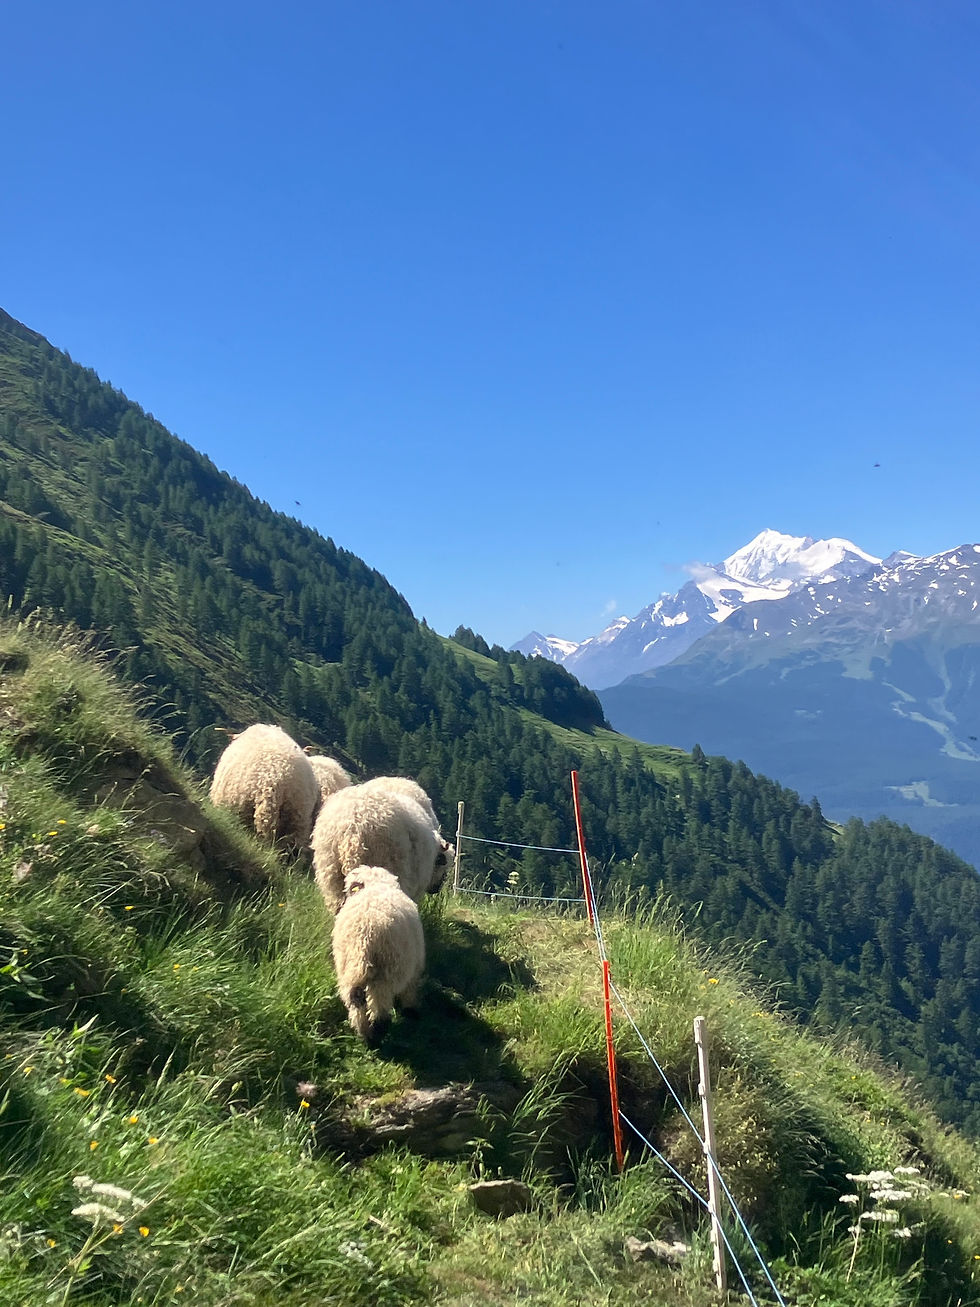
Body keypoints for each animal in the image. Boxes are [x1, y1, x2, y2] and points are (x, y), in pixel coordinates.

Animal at [331, 864, 425, 1046]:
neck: (376, 884)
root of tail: (364, 936)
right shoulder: (414, 966)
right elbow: (410, 989)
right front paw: (410, 1010)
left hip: (348, 967)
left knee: (355, 999)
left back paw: (364, 1033)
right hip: (386, 970)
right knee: (379, 1005)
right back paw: (378, 1033)